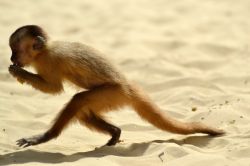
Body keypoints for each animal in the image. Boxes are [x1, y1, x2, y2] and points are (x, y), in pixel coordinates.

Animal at [8, 25, 225, 148]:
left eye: (14, 50)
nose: (11, 58)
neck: (44, 50)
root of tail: (129, 85)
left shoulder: (50, 60)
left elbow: (54, 89)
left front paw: (19, 73)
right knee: (83, 110)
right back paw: (115, 132)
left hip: (114, 94)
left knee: (79, 99)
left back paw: (47, 136)